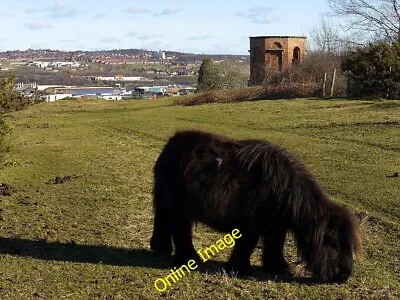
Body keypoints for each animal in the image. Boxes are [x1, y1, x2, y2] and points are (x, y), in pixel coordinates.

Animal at [151, 130, 362, 282]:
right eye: (333, 242)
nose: (345, 275)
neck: (283, 189)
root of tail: (170, 145)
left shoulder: (276, 226)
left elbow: (275, 245)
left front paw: (278, 268)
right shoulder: (250, 226)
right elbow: (247, 246)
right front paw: (239, 269)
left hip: (168, 205)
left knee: (164, 224)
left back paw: (162, 250)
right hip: (178, 209)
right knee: (180, 231)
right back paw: (188, 258)